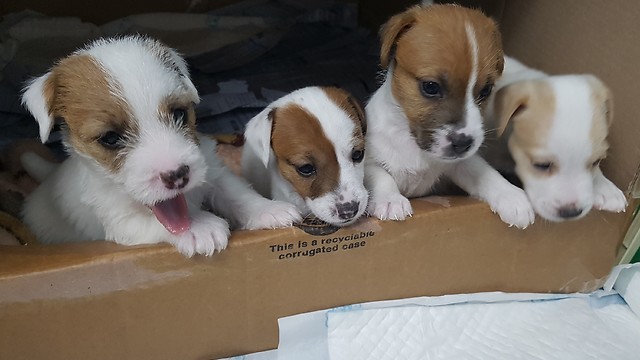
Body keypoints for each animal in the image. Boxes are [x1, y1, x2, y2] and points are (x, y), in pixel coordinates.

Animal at [20, 35, 300, 258]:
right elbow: (153, 223)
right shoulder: (121, 221)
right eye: (110, 138)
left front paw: (269, 210)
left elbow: (237, 193)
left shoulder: (214, 171)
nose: (177, 175)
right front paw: (200, 228)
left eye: (179, 114)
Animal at [364, 4, 536, 228]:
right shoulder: (367, 161)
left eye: (486, 90)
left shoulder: (461, 163)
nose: (463, 144)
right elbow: (380, 175)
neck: (415, 147)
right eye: (430, 87)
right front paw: (391, 200)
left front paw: (512, 196)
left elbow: (486, 173)